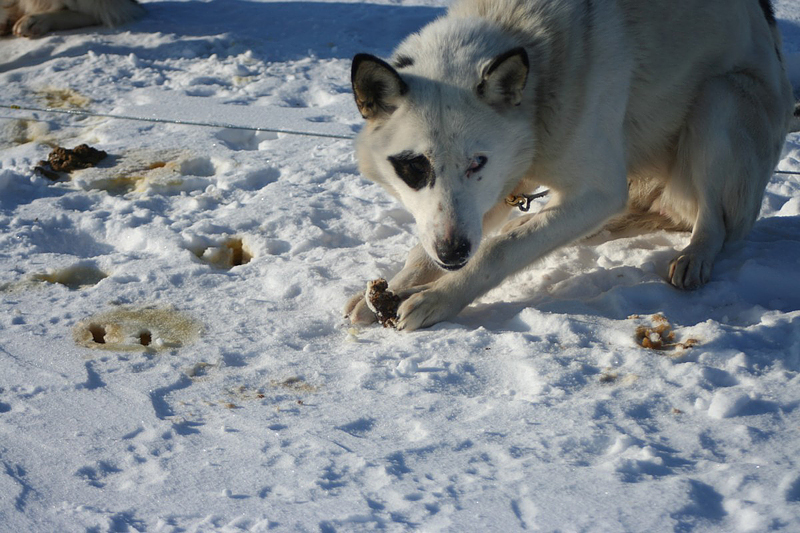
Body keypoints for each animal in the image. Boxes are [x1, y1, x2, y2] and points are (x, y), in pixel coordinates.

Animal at [344, 0, 792, 330]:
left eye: (477, 162)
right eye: (414, 168)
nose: (454, 253)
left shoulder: (599, 190)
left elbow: (497, 251)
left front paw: (438, 298)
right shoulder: (493, 191)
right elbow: (429, 248)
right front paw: (391, 291)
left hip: (720, 100)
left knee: (716, 221)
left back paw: (695, 255)